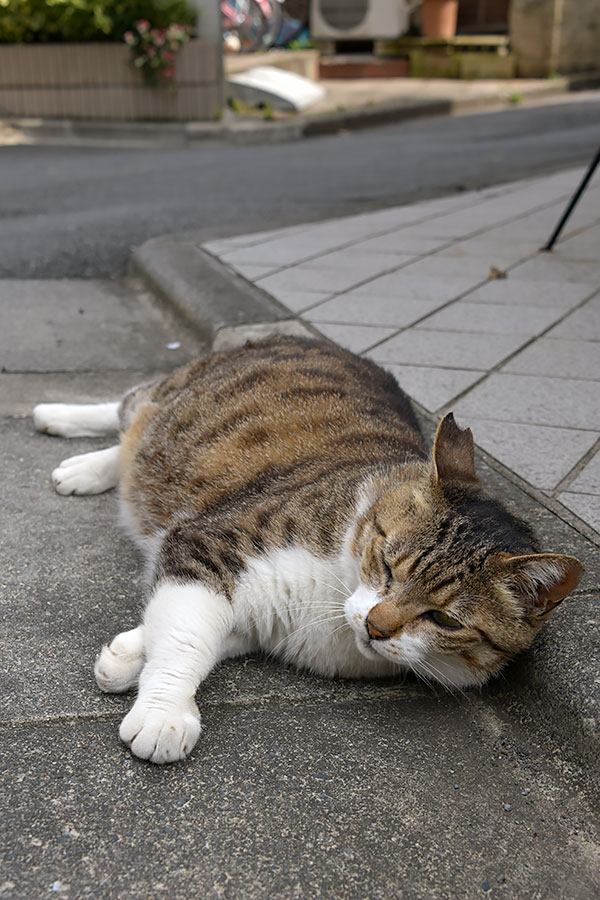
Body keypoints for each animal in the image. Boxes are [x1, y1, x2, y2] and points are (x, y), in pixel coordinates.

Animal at [31, 338, 580, 768]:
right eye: (386, 565)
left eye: (444, 620)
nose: (376, 626)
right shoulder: (209, 542)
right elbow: (188, 635)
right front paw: (164, 713)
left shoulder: (253, 615)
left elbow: (201, 629)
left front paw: (127, 654)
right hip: (171, 398)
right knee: (129, 407)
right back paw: (59, 427)